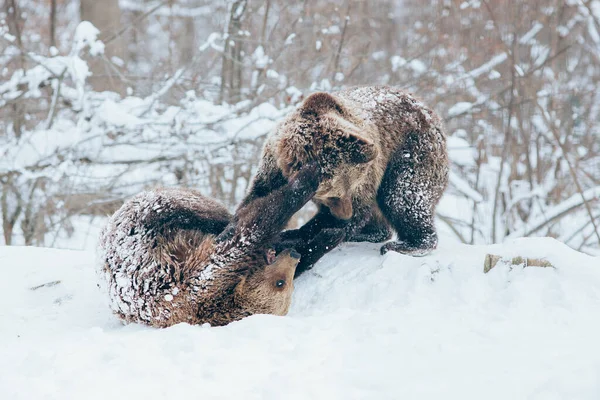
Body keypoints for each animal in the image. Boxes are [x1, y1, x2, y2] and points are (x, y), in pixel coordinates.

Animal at [239, 85, 450, 276]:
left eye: (350, 189)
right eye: (333, 196)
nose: (345, 214)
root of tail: (430, 112)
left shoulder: (369, 173)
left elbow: (346, 218)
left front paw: (293, 236)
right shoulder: (274, 164)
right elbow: (259, 199)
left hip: (413, 150)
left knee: (401, 196)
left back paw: (409, 244)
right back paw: (368, 233)